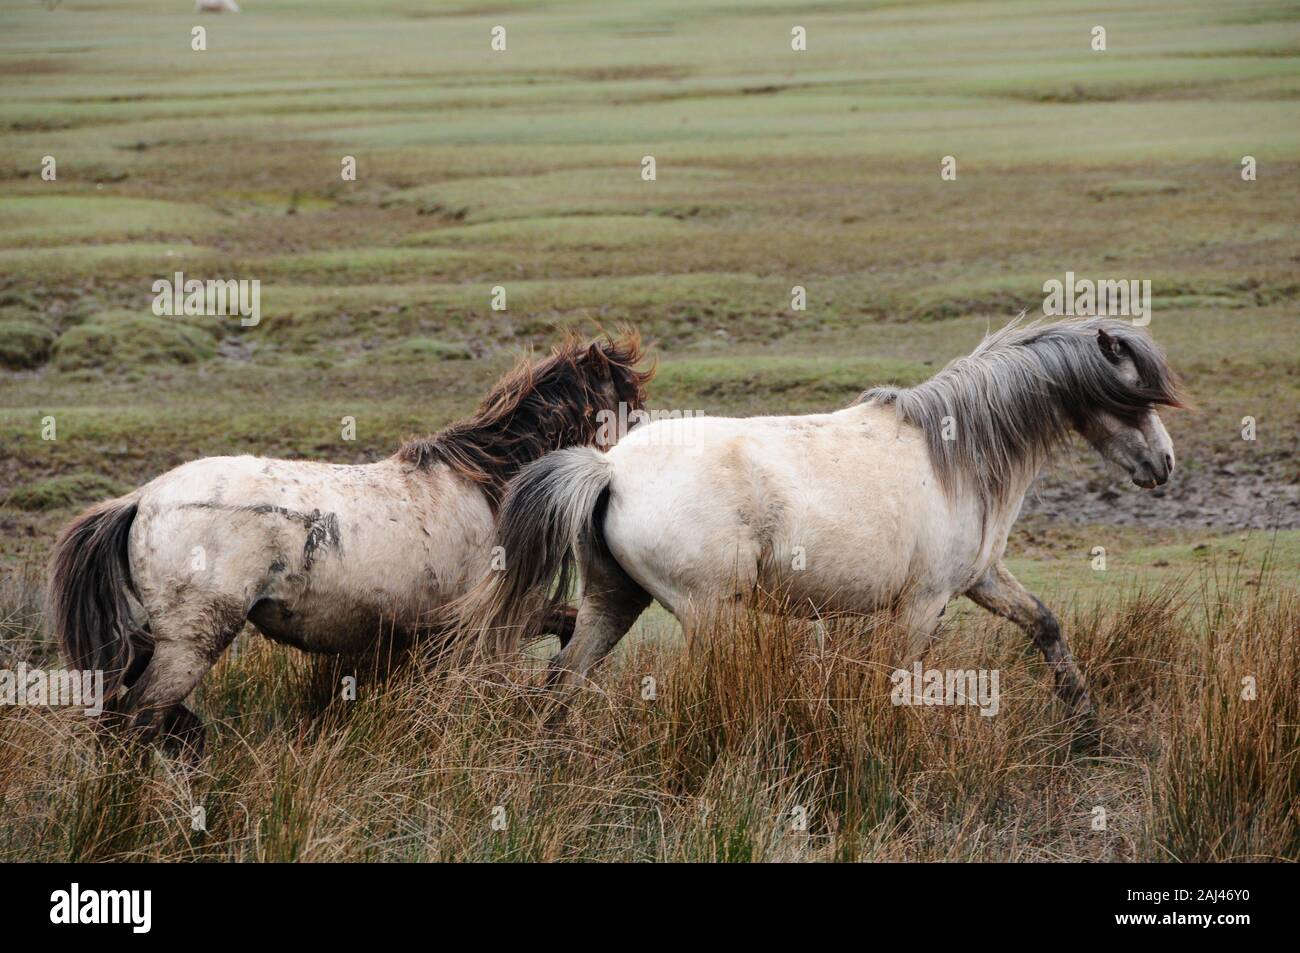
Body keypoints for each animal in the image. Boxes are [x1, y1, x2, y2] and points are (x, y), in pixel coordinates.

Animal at [48, 330, 650, 754]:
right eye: (631, 403)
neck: (487, 484)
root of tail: (142, 498)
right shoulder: (487, 625)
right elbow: (562, 632)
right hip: (191, 644)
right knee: (137, 719)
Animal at [462, 319, 1185, 743]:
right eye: (1134, 397)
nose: (1164, 464)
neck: (957, 452)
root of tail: (608, 467)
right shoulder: (924, 603)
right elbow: (898, 680)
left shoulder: (980, 578)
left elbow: (1045, 625)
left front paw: (1087, 725)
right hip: (710, 613)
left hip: (614, 599)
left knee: (563, 679)